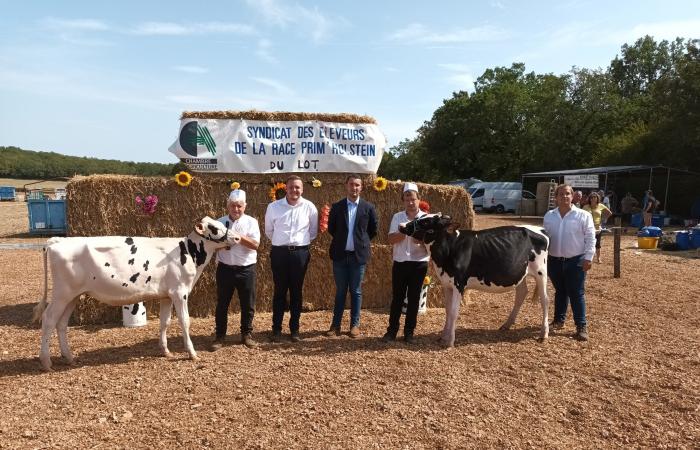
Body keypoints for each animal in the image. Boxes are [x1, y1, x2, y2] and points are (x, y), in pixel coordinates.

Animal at [32, 217, 241, 370]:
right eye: (214, 227)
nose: (238, 238)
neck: (188, 252)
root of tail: (57, 241)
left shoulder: (167, 295)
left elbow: (165, 322)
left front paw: (165, 351)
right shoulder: (180, 292)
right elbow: (184, 321)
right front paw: (192, 353)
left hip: (72, 296)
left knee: (61, 323)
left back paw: (69, 357)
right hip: (62, 294)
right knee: (49, 319)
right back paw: (46, 362)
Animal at [400, 213, 548, 346]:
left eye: (426, 222)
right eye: (418, 217)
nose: (402, 225)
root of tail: (541, 229)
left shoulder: (458, 283)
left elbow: (454, 312)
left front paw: (450, 341)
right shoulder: (446, 284)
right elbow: (448, 311)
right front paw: (443, 337)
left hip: (541, 272)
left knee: (545, 300)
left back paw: (543, 334)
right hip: (520, 274)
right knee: (521, 293)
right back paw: (507, 324)